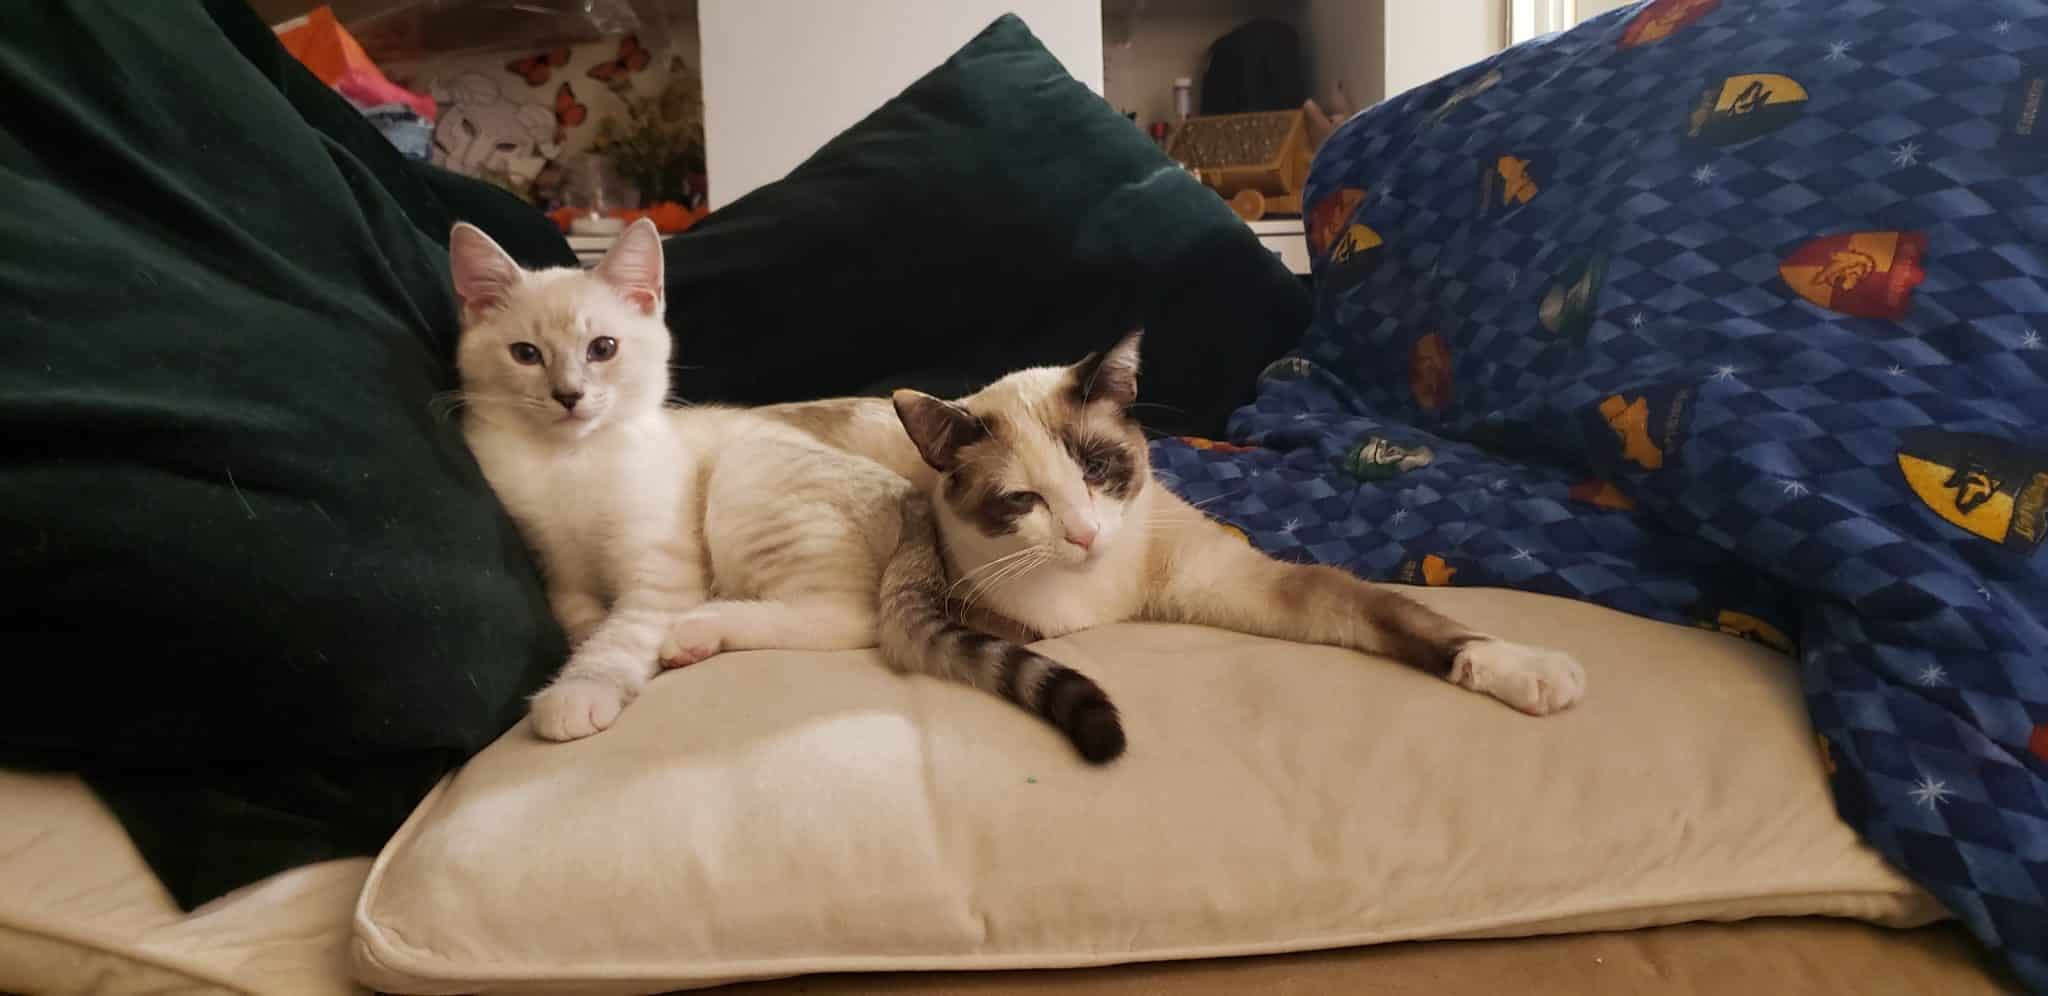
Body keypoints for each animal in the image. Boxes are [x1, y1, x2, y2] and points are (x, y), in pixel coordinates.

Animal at [447, 219, 1116, 749]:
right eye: (525, 354)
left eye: (603, 348)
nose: (568, 396)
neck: (572, 461)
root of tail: (916, 504)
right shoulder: (554, 560)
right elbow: (581, 615)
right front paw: (586, 644)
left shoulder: (661, 574)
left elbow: (624, 632)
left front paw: (579, 691)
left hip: (749, 484)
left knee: (850, 618)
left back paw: (700, 631)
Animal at [778, 331, 1586, 765]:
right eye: (1022, 502)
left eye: (1095, 469)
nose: (1083, 533)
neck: (1104, 599)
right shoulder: (987, 616)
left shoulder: (1251, 583)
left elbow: (1404, 618)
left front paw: (1529, 671)